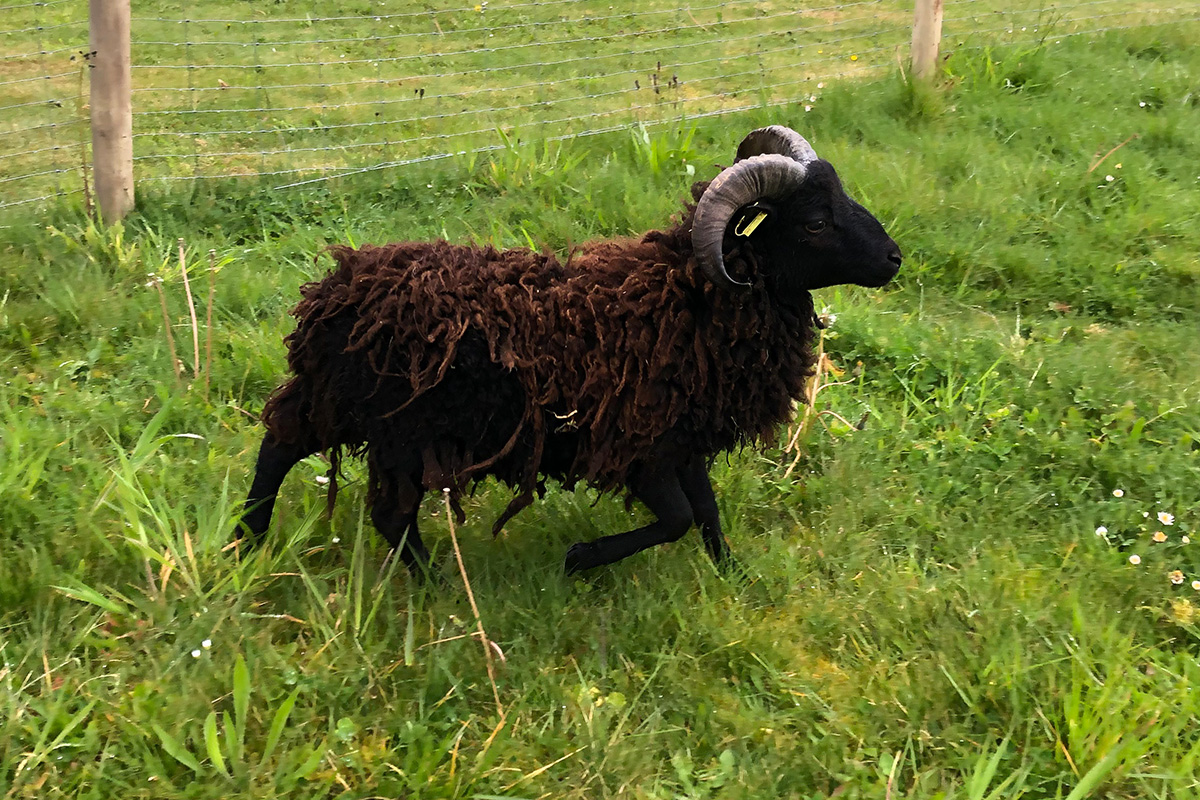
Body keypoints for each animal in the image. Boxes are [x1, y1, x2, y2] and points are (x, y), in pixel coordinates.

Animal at [239, 125, 901, 576]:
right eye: (815, 222)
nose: (894, 258)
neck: (690, 297)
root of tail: (334, 290)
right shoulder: (640, 447)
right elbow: (677, 519)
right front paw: (581, 558)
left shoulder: (681, 439)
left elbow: (706, 512)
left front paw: (730, 575)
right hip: (393, 423)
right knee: (371, 503)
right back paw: (430, 586)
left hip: (350, 406)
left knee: (287, 448)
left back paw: (251, 541)